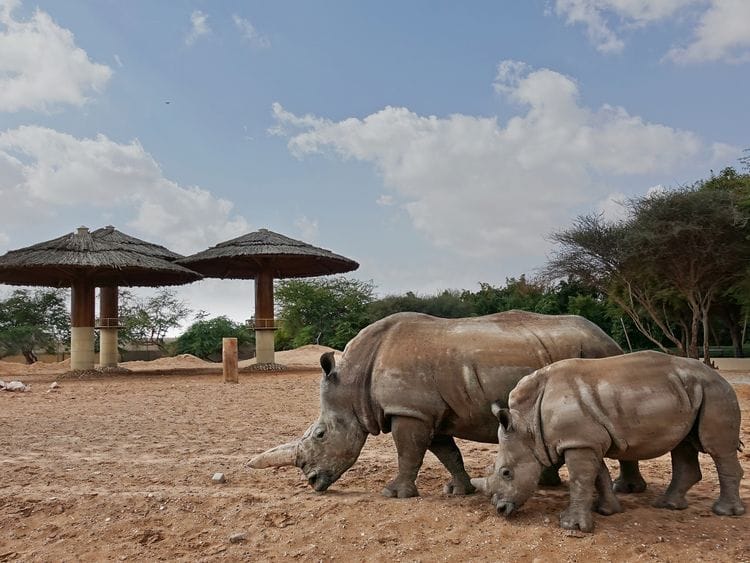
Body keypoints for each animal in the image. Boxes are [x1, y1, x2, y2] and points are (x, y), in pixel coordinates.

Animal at [248, 311, 646, 498]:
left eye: (319, 434)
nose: (312, 481)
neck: (354, 380)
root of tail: (606, 335)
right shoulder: (429, 413)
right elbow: (446, 453)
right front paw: (459, 491)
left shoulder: (410, 411)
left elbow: (408, 452)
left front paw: (393, 494)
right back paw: (550, 485)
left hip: (600, 354)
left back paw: (626, 491)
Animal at [472, 350, 746, 532]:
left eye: (506, 473)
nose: (500, 511)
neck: (527, 424)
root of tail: (719, 376)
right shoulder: (588, 439)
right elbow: (598, 476)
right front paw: (607, 511)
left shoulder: (579, 441)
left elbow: (580, 479)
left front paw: (572, 526)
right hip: (690, 392)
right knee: (684, 445)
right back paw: (668, 505)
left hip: (716, 391)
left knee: (717, 449)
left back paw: (725, 513)